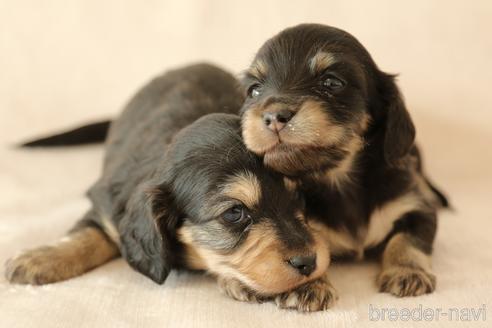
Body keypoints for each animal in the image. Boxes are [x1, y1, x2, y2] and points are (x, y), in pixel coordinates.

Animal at [4, 62, 334, 312]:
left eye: (299, 196)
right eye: (234, 214)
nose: (309, 262)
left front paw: (312, 284)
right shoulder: (107, 204)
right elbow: (87, 234)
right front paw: (40, 258)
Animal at [241, 25, 450, 302]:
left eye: (331, 82)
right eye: (254, 90)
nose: (274, 116)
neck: (338, 178)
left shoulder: (415, 208)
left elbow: (407, 240)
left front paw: (407, 272)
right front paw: (306, 286)